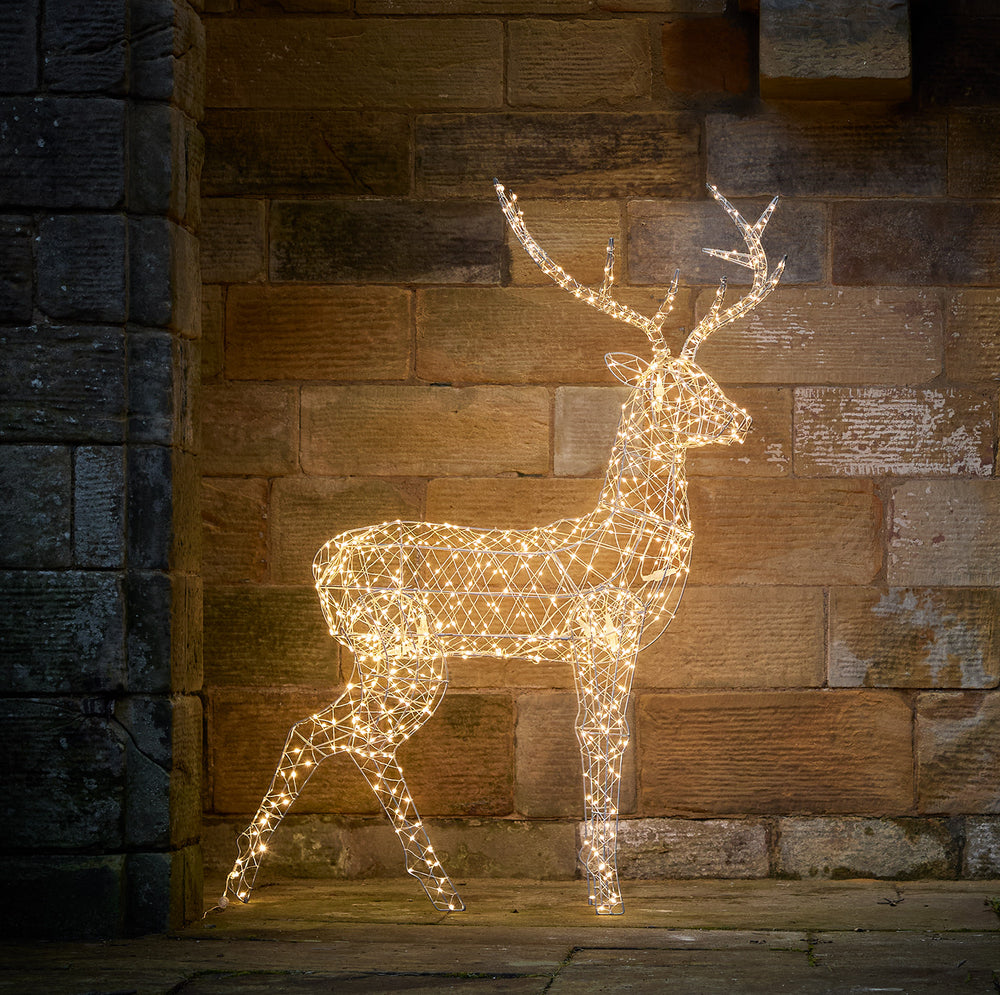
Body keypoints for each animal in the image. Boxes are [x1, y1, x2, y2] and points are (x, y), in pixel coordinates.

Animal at [221, 180, 785, 916]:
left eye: (706, 375)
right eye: (671, 385)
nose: (741, 418)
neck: (626, 532)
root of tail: (321, 563)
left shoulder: (603, 647)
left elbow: (601, 744)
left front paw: (599, 882)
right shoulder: (604, 635)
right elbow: (602, 745)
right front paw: (607, 893)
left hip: (378, 656)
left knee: (331, 734)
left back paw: (405, 887)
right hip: (404, 651)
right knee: (337, 734)